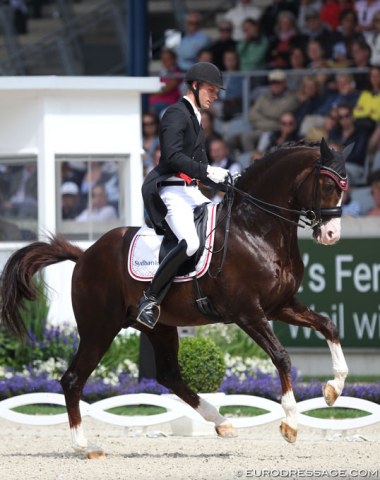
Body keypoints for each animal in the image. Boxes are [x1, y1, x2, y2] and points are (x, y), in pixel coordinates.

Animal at [0, 140, 350, 458]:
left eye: (345, 187)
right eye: (327, 184)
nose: (331, 235)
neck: (256, 229)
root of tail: (85, 254)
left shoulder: (280, 305)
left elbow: (328, 326)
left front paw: (333, 390)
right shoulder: (248, 312)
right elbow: (281, 356)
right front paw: (290, 423)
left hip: (159, 327)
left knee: (169, 374)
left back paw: (221, 421)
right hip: (99, 329)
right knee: (73, 379)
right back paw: (84, 445)